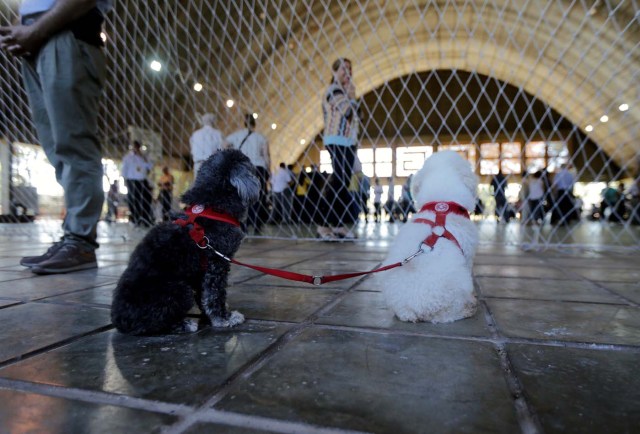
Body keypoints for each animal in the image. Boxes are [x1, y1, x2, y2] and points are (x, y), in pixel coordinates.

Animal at [112, 149, 260, 336]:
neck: (212, 205)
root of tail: (119, 321)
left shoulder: (200, 271)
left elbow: (204, 295)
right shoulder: (216, 263)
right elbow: (215, 294)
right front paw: (224, 319)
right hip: (181, 290)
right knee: (152, 325)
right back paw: (183, 325)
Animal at [378, 149, 478, 322]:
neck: (441, 206)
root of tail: (411, 308)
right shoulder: (468, 255)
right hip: (459, 286)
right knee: (450, 314)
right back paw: (468, 307)